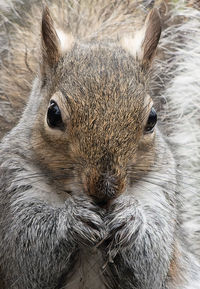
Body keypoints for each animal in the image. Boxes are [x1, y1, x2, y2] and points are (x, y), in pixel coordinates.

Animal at [0, 0, 200, 286]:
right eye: (53, 114)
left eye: (152, 118)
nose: (106, 189)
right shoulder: (14, 183)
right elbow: (26, 255)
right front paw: (71, 220)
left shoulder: (161, 187)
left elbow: (151, 263)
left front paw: (131, 219)